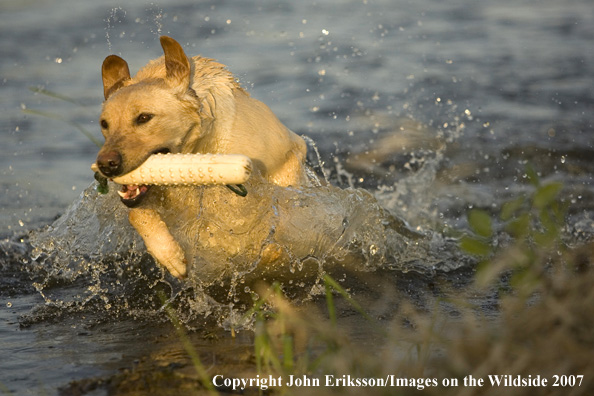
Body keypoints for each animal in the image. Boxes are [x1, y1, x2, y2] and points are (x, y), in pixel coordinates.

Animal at [95, 36, 308, 278]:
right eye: (104, 123)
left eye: (144, 117)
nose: (106, 164)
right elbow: (137, 215)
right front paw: (170, 256)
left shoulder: (287, 154)